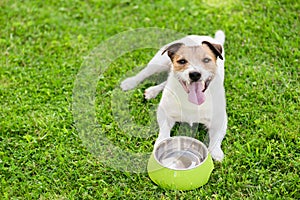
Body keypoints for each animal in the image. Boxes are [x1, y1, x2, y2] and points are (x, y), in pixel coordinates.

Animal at [120, 30, 226, 161]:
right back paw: (131, 82)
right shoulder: (164, 112)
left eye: (206, 60)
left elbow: (216, 138)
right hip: (158, 63)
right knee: (145, 73)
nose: (195, 74)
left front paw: (216, 152)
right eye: (182, 61)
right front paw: (162, 143)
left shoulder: (220, 120)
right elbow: (164, 130)